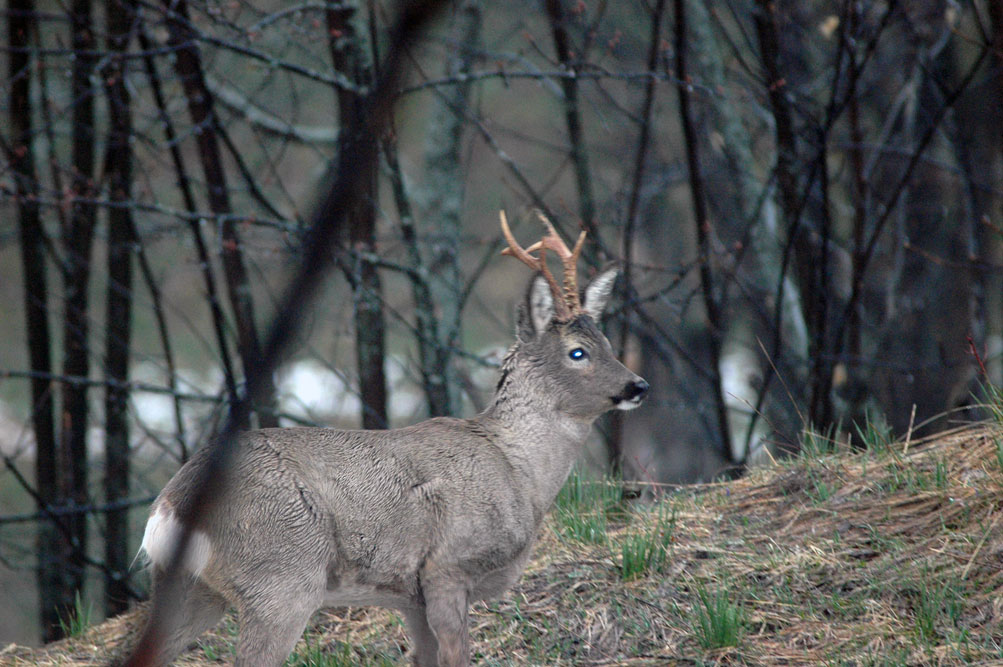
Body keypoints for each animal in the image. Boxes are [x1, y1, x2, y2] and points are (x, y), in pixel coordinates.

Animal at [125, 214, 649, 665]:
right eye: (577, 352)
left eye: (607, 342)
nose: (637, 385)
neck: (519, 470)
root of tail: (171, 504)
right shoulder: (448, 568)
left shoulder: (409, 596)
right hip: (280, 578)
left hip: (190, 587)